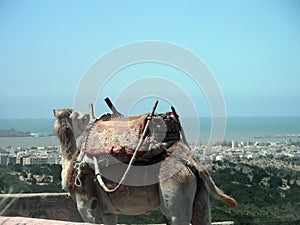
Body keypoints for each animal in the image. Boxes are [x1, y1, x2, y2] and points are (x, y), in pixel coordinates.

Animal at [53, 108, 237, 224]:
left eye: (82, 118)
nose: (87, 117)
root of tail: (192, 163)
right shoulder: (108, 210)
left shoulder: (85, 203)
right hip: (200, 196)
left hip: (174, 191)